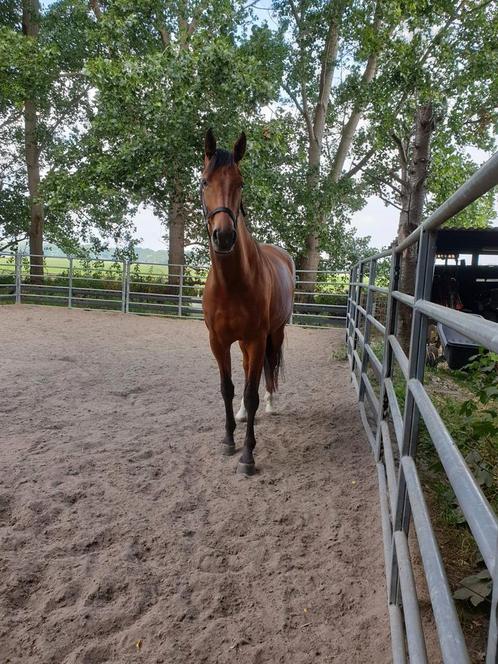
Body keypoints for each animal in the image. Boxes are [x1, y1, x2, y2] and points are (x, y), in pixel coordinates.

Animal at [202, 128, 294, 472]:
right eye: (205, 181)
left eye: (240, 183)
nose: (224, 236)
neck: (232, 283)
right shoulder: (218, 341)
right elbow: (227, 388)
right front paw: (229, 439)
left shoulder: (256, 338)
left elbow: (252, 390)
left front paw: (248, 455)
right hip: (241, 342)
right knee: (244, 374)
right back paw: (241, 414)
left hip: (273, 333)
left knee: (268, 370)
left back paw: (271, 403)